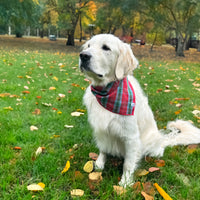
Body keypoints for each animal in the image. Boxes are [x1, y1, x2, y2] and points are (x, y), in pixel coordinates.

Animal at [79, 34, 199, 188]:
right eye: (88, 46)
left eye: (106, 48)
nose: (83, 55)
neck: (106, 92)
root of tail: (162, 139)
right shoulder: (101, 129)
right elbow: (103, 149)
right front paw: (100, 164)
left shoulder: (130, 137)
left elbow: (128, 163)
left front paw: (125, 182)